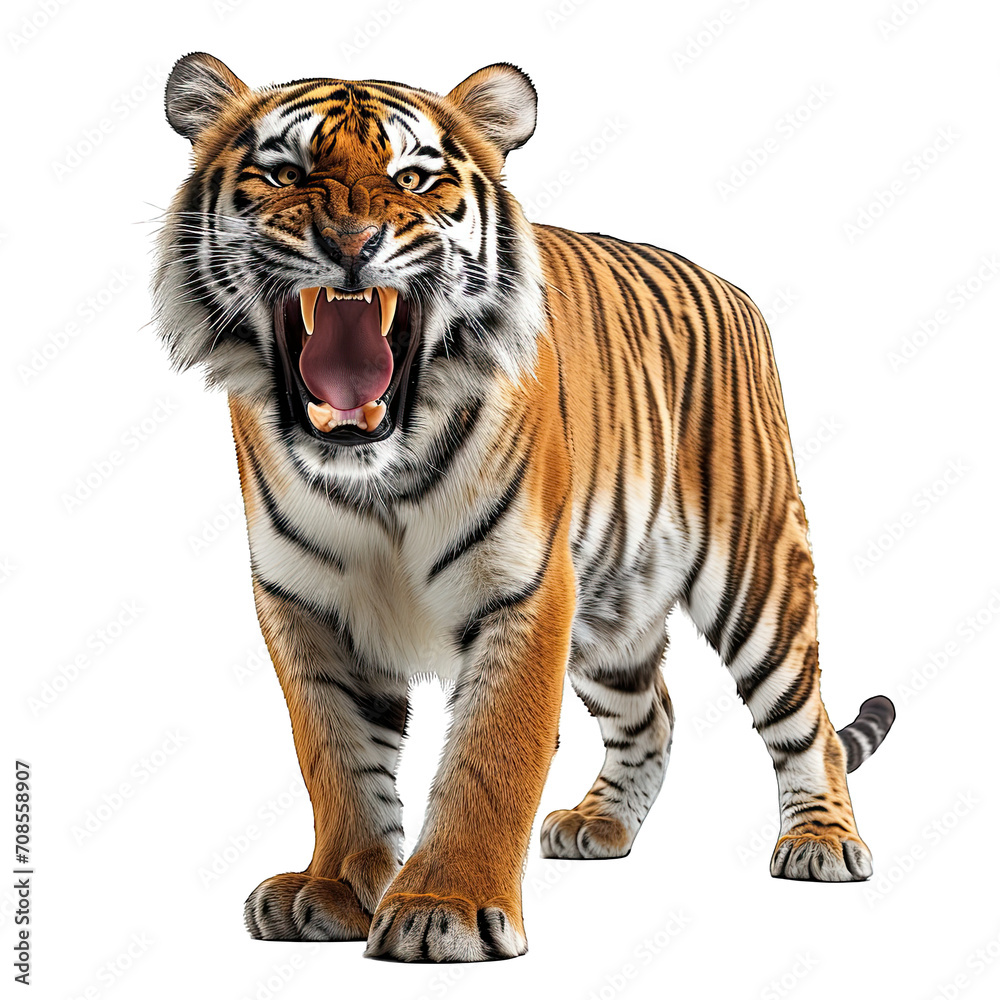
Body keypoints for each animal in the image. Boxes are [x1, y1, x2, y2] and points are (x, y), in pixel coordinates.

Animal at [153, 52, 896, 962]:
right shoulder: (305, 600)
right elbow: (336, 758)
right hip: (613, 607)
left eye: (413, 178)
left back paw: (822, 842)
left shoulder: (525, 587)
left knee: (807, 718)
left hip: (756, 573)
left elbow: (490, 755)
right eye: (284, 173)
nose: (351, 246)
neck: (376, 472)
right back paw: (600, 825)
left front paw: (445, 907)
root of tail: (730, 287)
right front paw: (333, 888)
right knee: (653, 713)